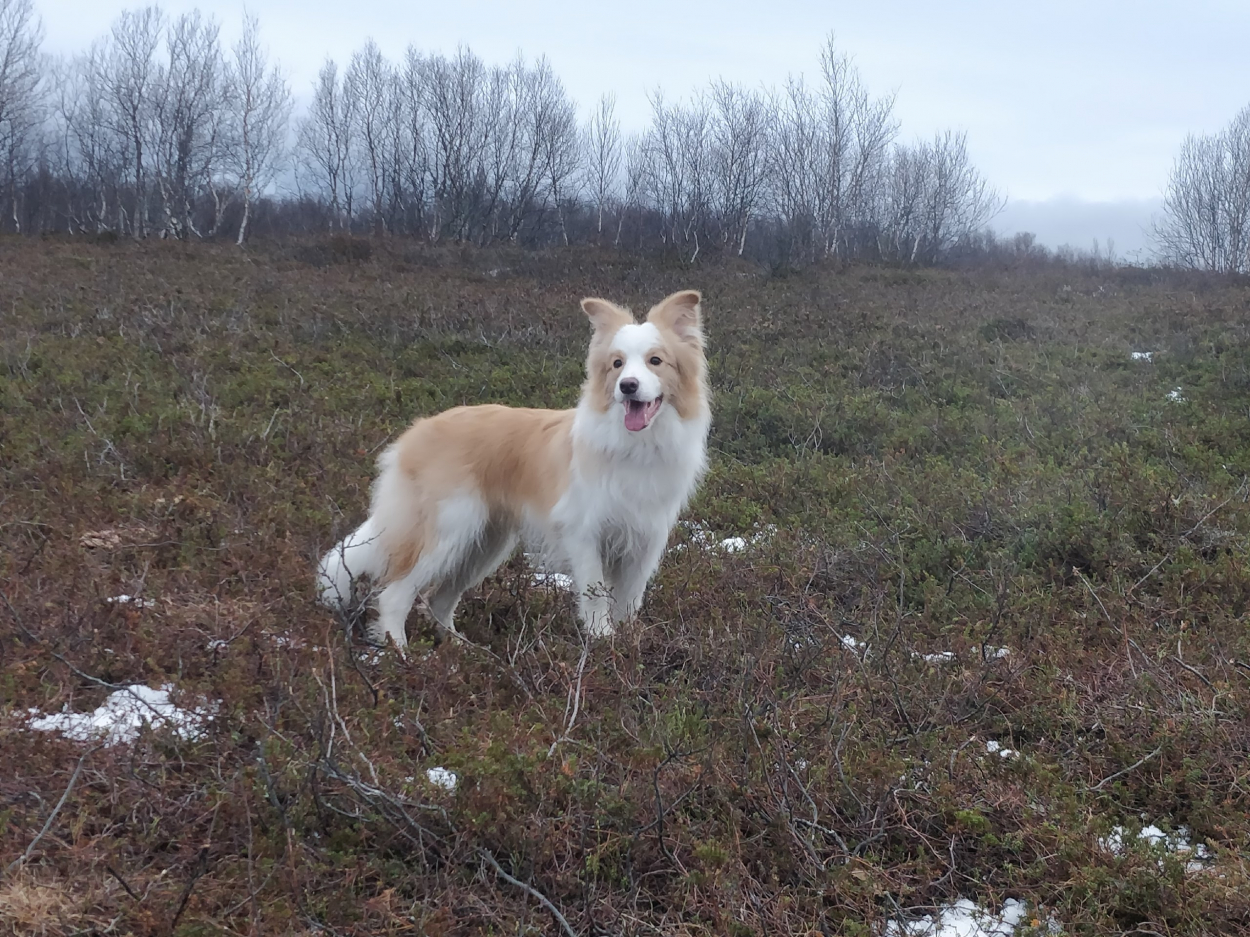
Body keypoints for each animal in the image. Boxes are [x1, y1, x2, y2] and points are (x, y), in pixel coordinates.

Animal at [317, 289, 711, 648]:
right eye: (617, 364)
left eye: (655, 361)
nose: (628, 387)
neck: (636, 446)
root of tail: (414, 432)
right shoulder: (585, 534)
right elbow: (596, 596)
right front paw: (602, 642)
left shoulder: (644, 541)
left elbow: (629, 601)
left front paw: (627, 645)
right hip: (448, 533)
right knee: (395, 595)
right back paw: (402, 656)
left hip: (481, 544)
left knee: (437, 600)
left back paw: (461, 652)